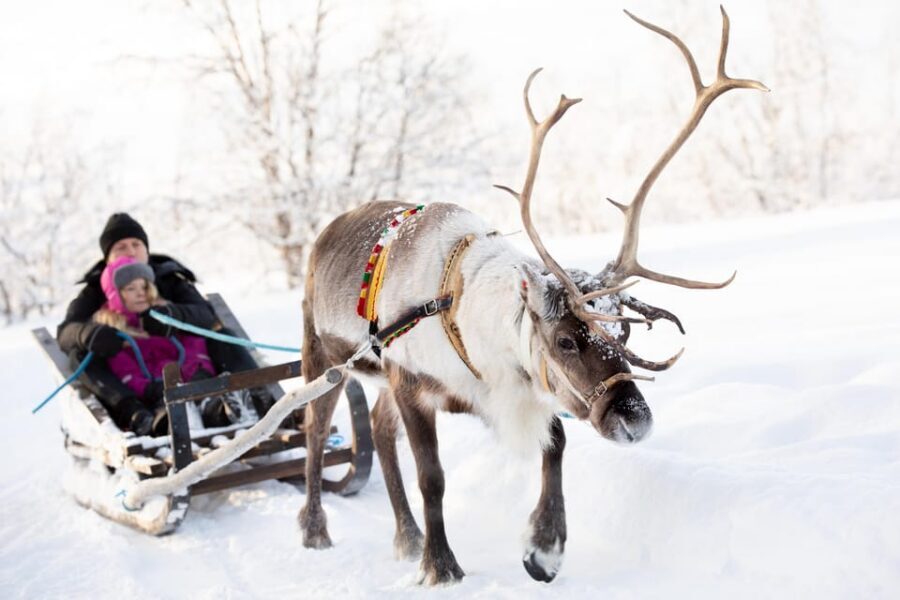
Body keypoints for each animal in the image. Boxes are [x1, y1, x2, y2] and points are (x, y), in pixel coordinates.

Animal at [297, 7, 766, 585]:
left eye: (625, 330)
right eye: (566, 340)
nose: (636, 421)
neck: (462, 310)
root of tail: (325, 231)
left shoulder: (497, 390)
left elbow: (557, 440)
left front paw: (544, 548)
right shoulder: (414, 384)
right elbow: (432, 476)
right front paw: (442, 566)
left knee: (381, 433)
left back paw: (406, 537)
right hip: (323, 355)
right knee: (315, 431)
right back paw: (317, 530)